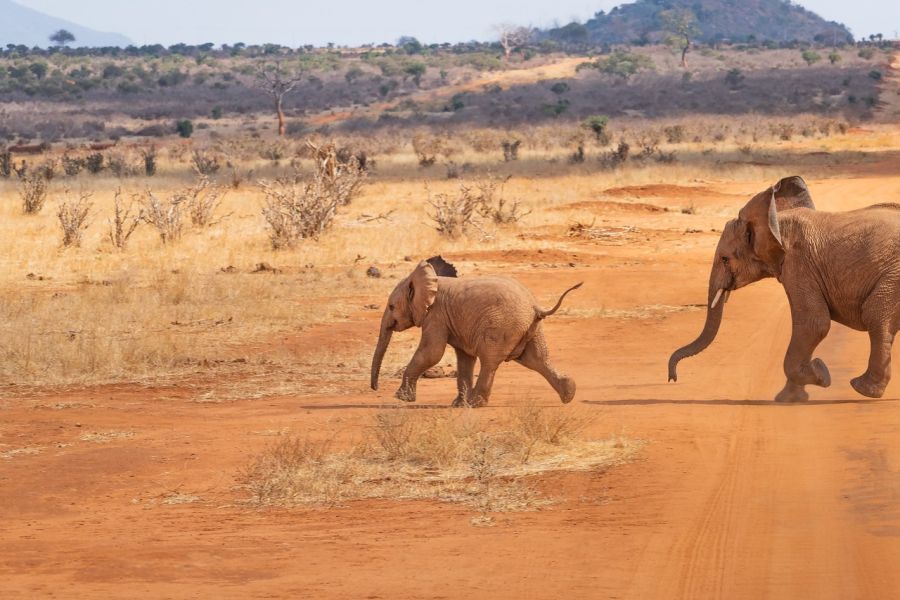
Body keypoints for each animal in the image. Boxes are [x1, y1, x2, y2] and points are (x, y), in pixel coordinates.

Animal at [668, 177, 900, 404]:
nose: (672, 378)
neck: (776, 222)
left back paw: (863, 389)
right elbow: (812, 325)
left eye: (725, 259)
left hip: (893, 277)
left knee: (874, 314)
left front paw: (821, 374)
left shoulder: (799, 263)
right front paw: (790, 398)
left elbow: (814, 323)